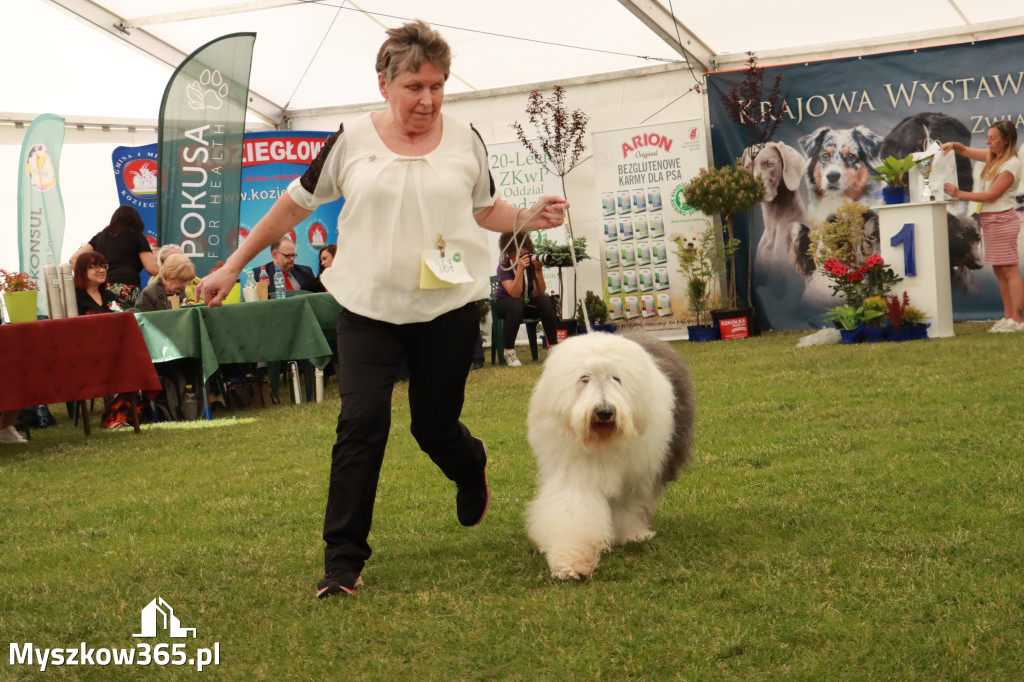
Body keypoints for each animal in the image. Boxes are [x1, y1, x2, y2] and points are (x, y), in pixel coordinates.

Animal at [528, 331, 696, 577]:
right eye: (584, 378)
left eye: (616, 378)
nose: (604, 412)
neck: (602, 441)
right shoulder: (576, 475)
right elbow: (574, 511)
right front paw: (571, 563)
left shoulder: (636, 474)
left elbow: (630, 505)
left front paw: (631, 534)